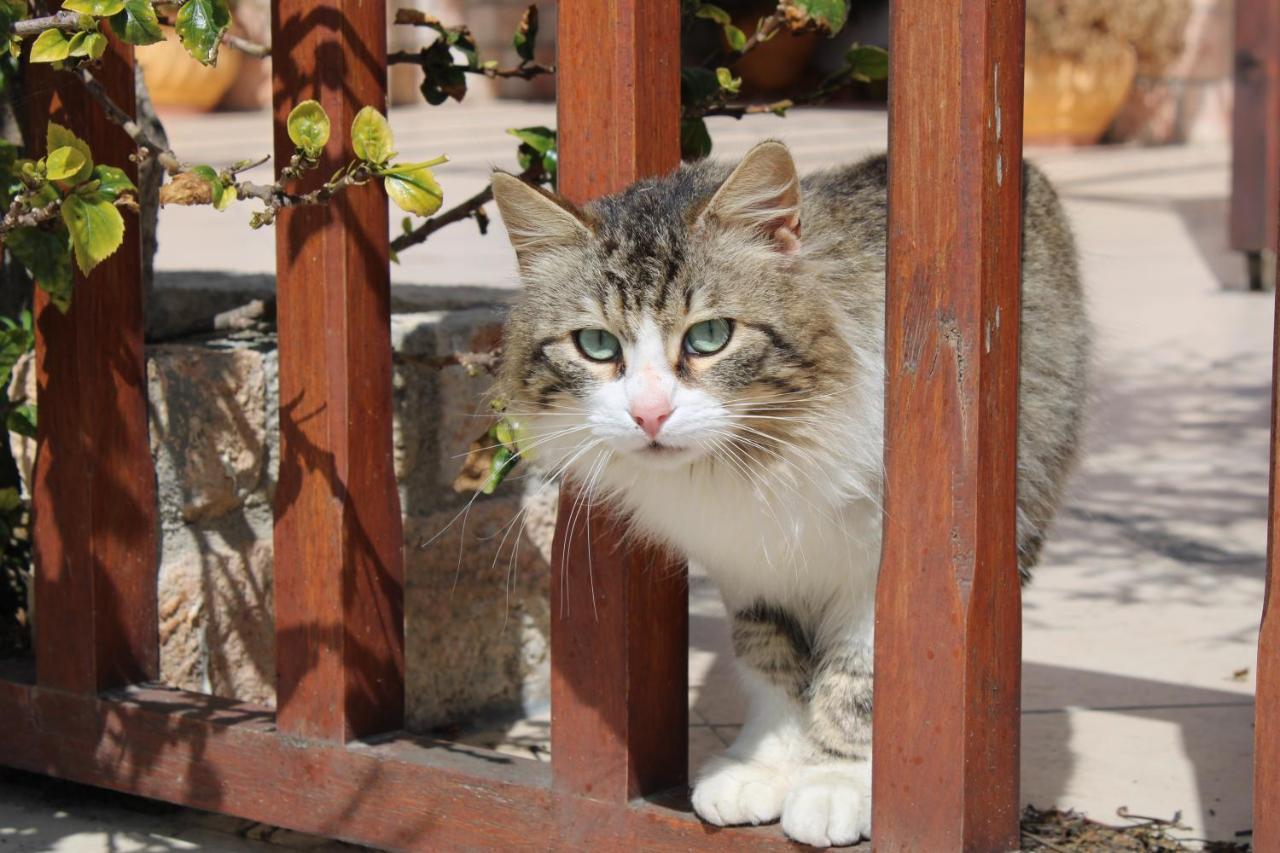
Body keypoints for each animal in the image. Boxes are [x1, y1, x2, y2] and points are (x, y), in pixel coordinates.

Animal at [488, 140, 1090, 845]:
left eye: (710, 336)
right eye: (597, 344)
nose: (649, 414)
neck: (755, 463)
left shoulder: (880, 571)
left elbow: (859, 684)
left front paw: (836, 785)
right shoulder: (752, 567)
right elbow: (771, 666)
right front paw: (764, 767)